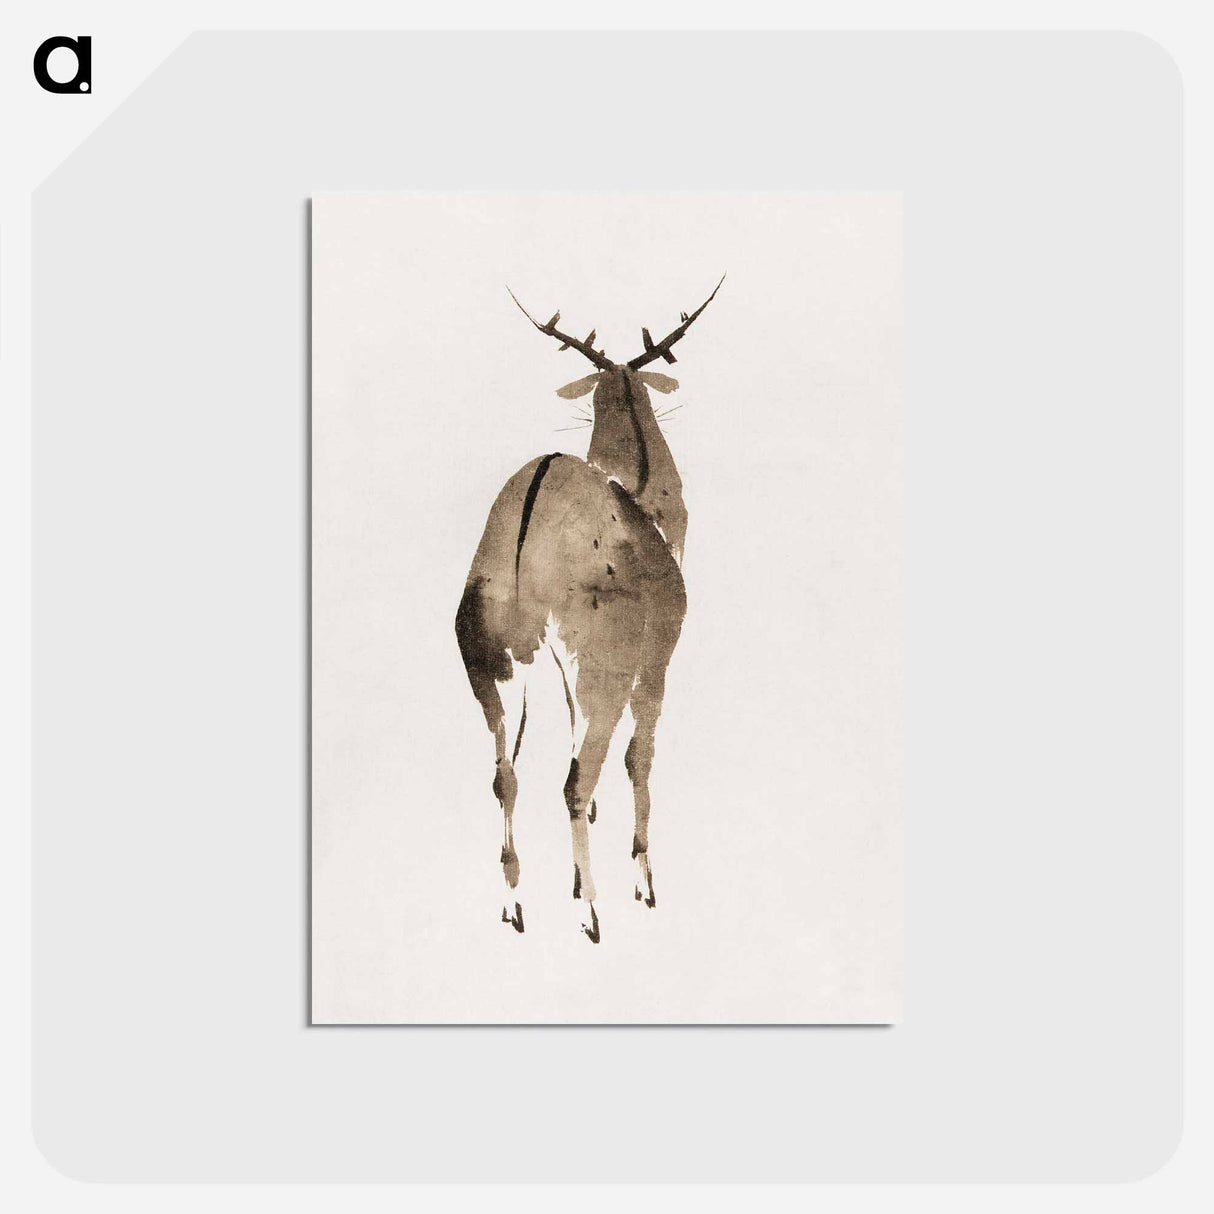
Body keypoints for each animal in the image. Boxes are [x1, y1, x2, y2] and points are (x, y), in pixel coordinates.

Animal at [455, 276, 724, 942]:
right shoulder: (656, 659)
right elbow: (639, 759)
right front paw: (643, 884)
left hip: (487, 659)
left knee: (505, 775)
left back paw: (515, 905)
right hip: (601, 663)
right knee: (577, 777)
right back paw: (593, 912)